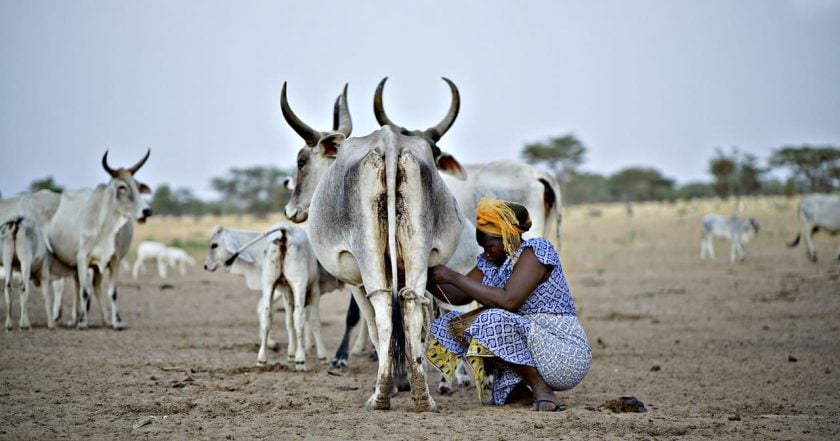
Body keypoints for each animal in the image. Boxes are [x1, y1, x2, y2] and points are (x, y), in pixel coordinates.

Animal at [46, 150, 151, 328]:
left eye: (137, 186)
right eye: (122, 186)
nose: (146, 211)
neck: (104, 227)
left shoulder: (114, 260)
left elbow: (112, 292)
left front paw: (117, 322)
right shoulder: (81, 258)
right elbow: (84, 291)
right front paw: (82, 322)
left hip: (92, 266)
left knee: (90, 285)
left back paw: (103, 319)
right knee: (71, 285)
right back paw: (71, 318)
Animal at [205, 223, 330, 368]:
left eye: (214, 245)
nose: (205, 266)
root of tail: (285, 230)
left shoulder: (293, 290)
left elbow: (297, 321)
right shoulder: (304, 289)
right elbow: (305, 320)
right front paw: (314, 354)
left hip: (275, 283)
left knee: (273, 315)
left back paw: (265, 359)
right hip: (294, 283)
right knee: (297, 316)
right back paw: (299, 359)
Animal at [282, 78, 466, 410]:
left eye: (301, 161)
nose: (291, 211)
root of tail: (389, 144)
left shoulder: (353, 277)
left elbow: (368, 321)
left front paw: (390, 381)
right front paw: (404, 379)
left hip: (366, 255)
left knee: (381, 308)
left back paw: (380, 395)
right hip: (419, 252)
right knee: (411, 305)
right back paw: (423, 395)